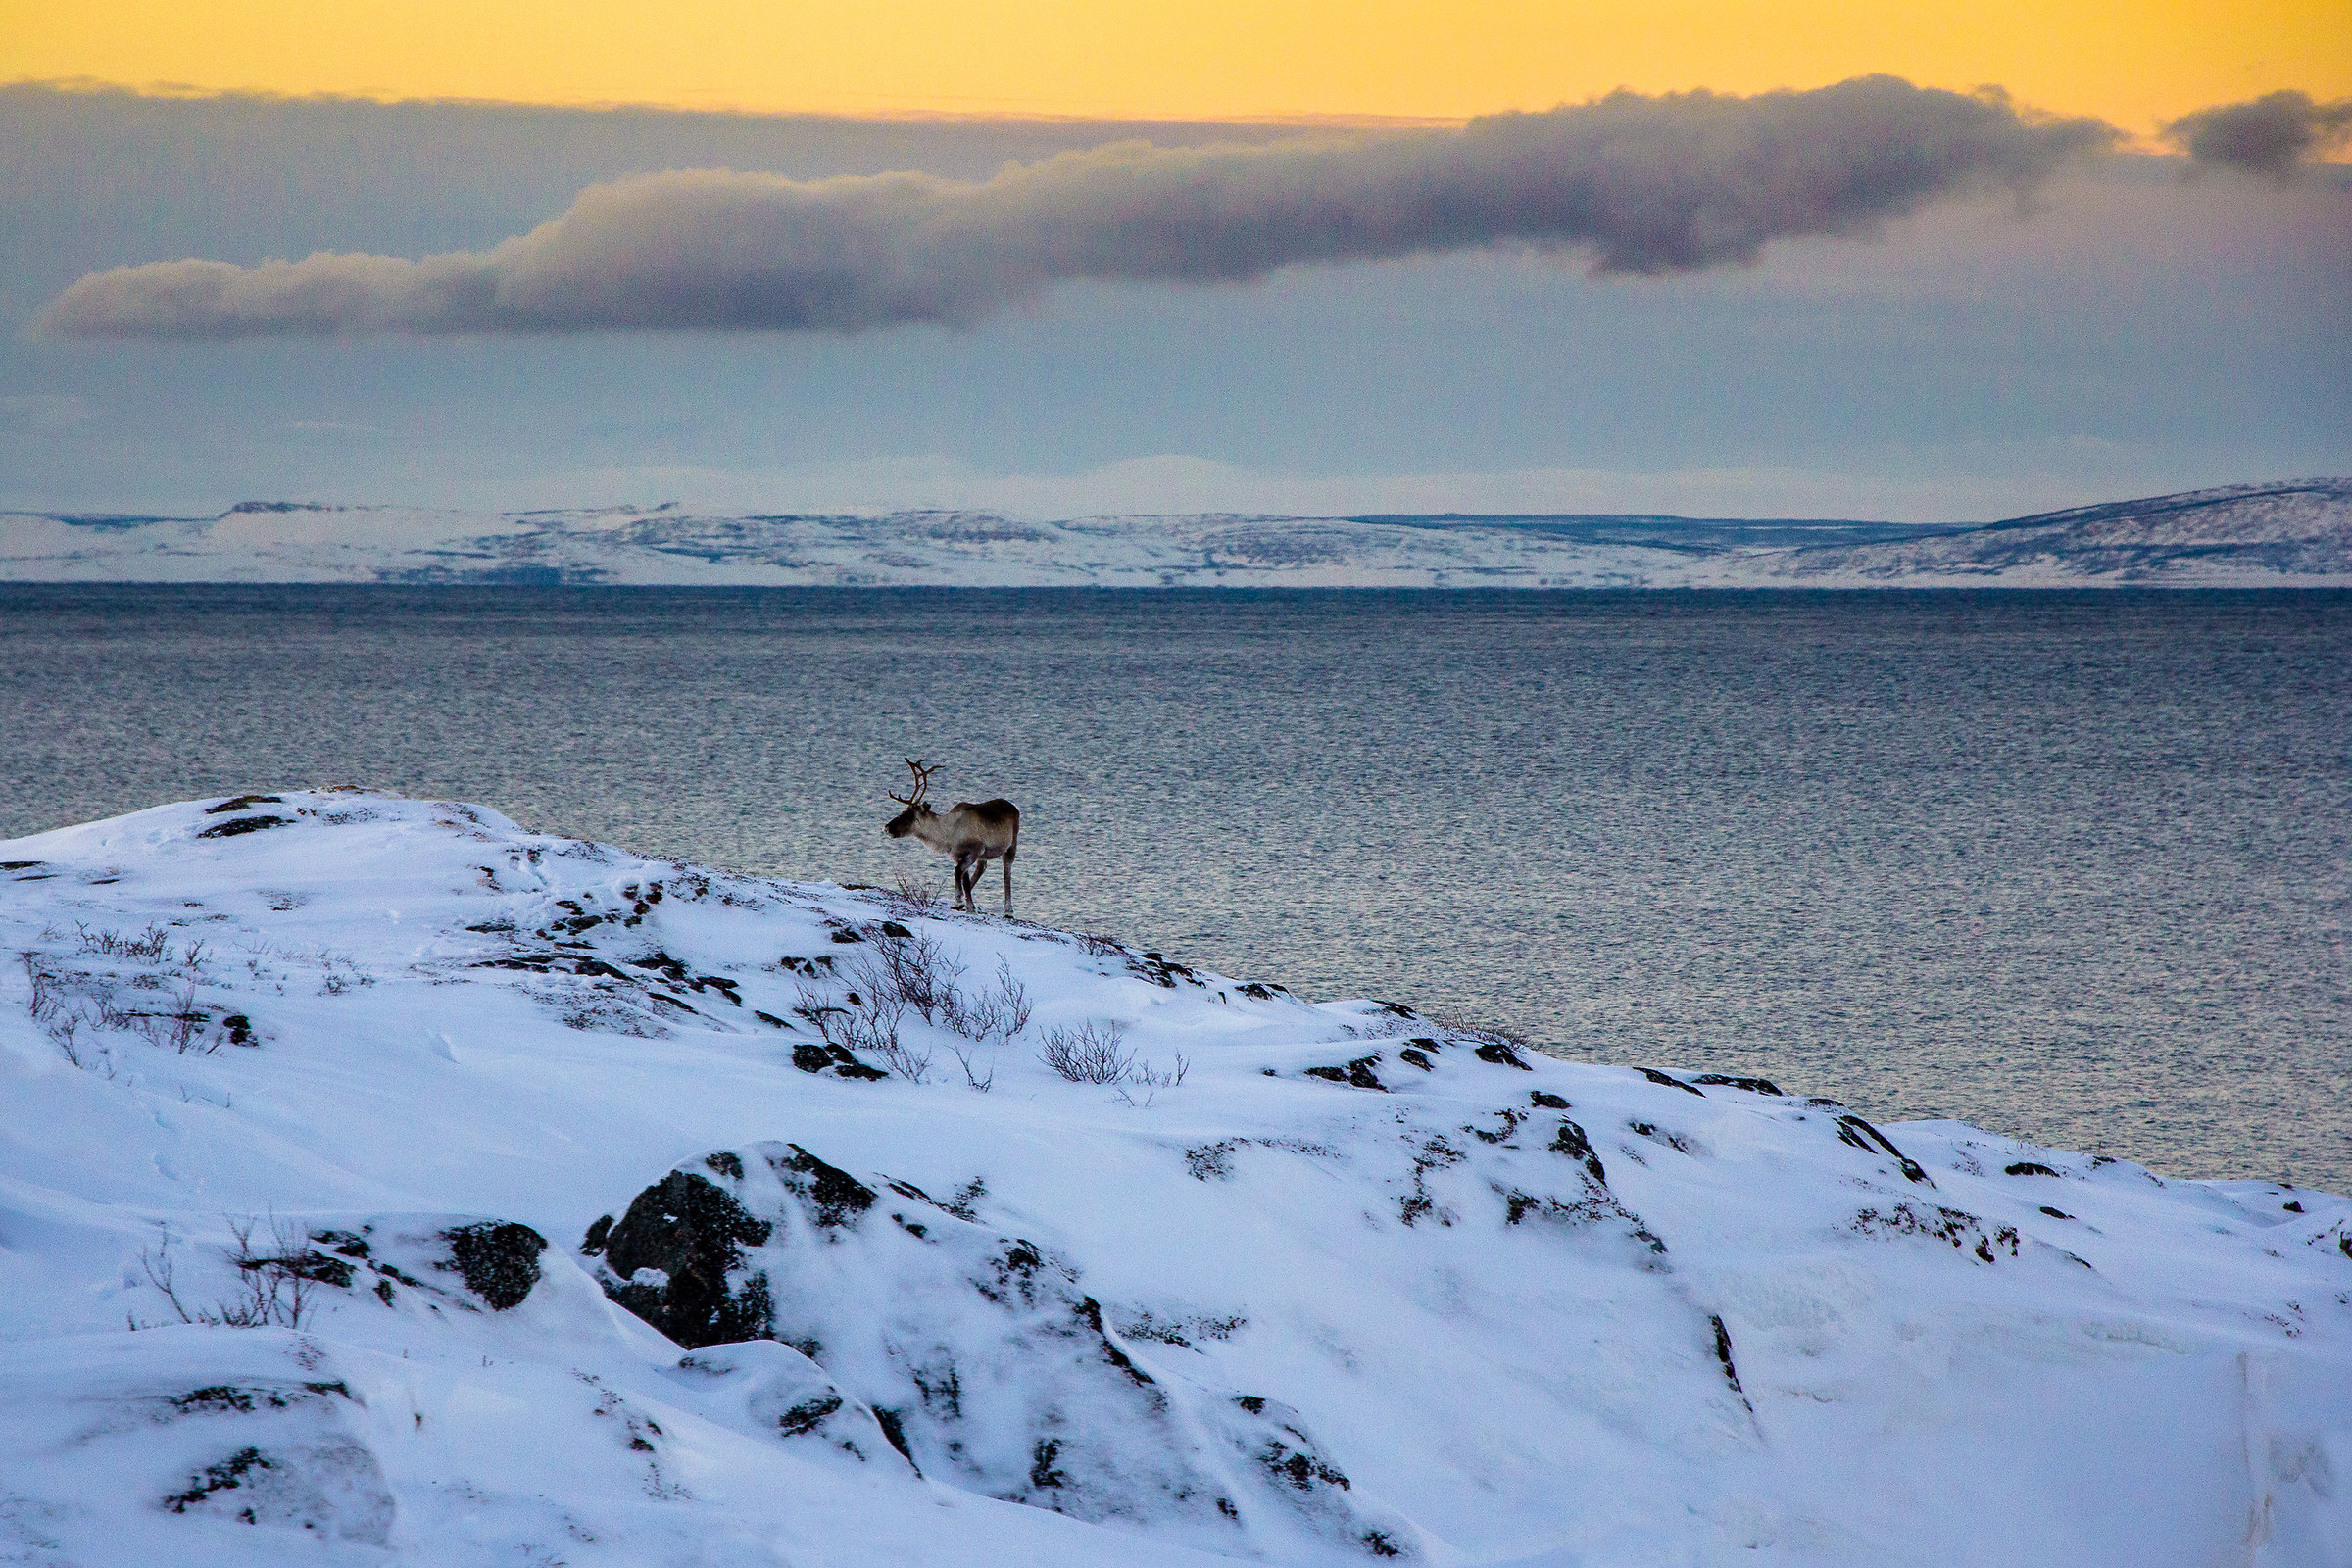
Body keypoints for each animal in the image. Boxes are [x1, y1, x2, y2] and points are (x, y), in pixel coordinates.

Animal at [883, 759, 1020, 915]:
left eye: (909, 815)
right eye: (903, 811)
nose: (887, 827)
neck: (948, 835)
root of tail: (1014, 807)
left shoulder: (974, 851)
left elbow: (957, 872)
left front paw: (962, 902)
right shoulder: (958, 856)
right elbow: (963, 878)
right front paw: (964, 904)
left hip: (1011, 844)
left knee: (1006, 873)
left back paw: (1008, 910)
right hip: (984, 854)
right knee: (981, 868)